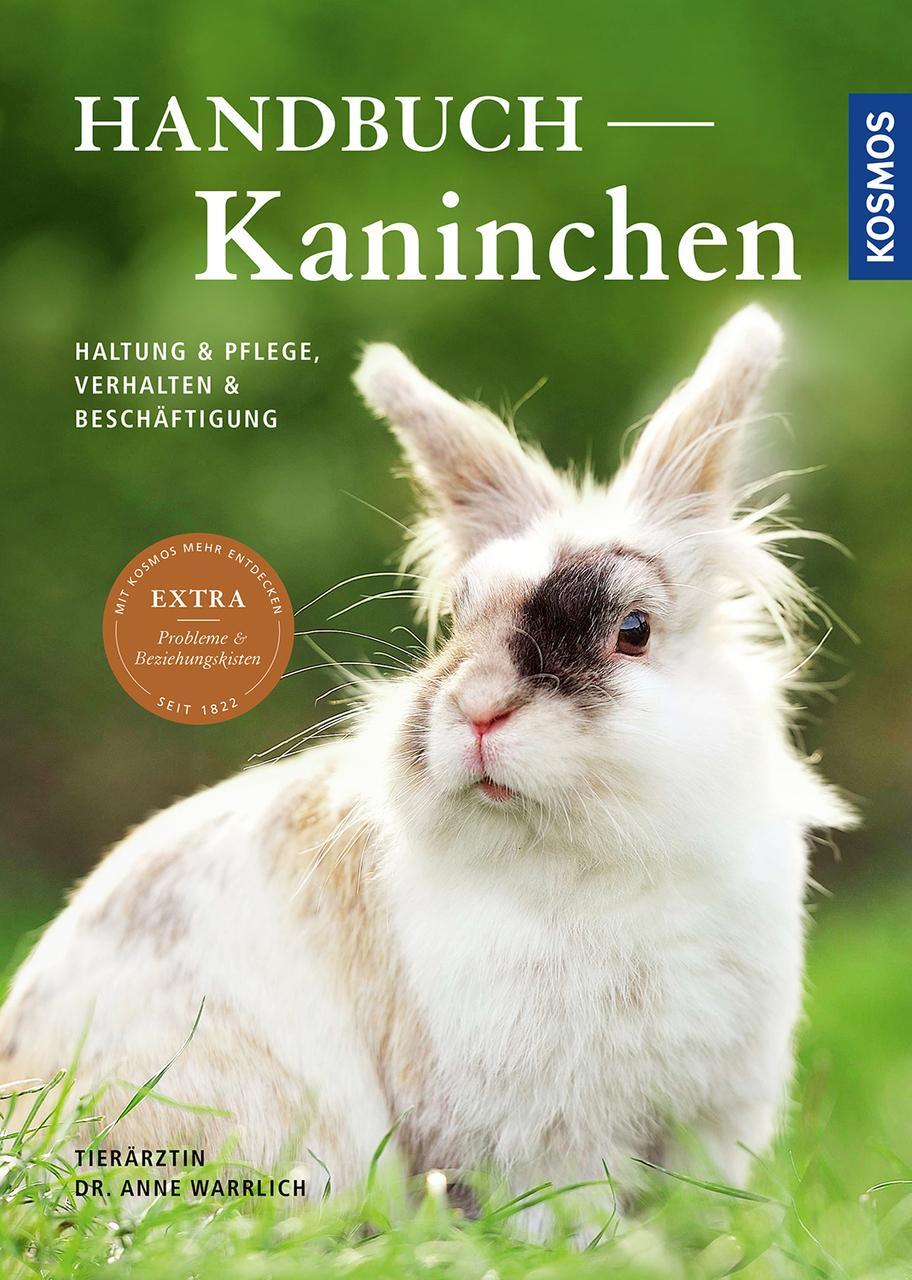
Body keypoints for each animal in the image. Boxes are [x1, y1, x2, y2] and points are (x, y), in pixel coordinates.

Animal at [0, 305, 852, 1235]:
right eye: (458, 623)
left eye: (633, 629)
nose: (477, 710)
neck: (592, 860)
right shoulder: (539, 1132)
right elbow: (565, 1214)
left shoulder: (710, 1116)